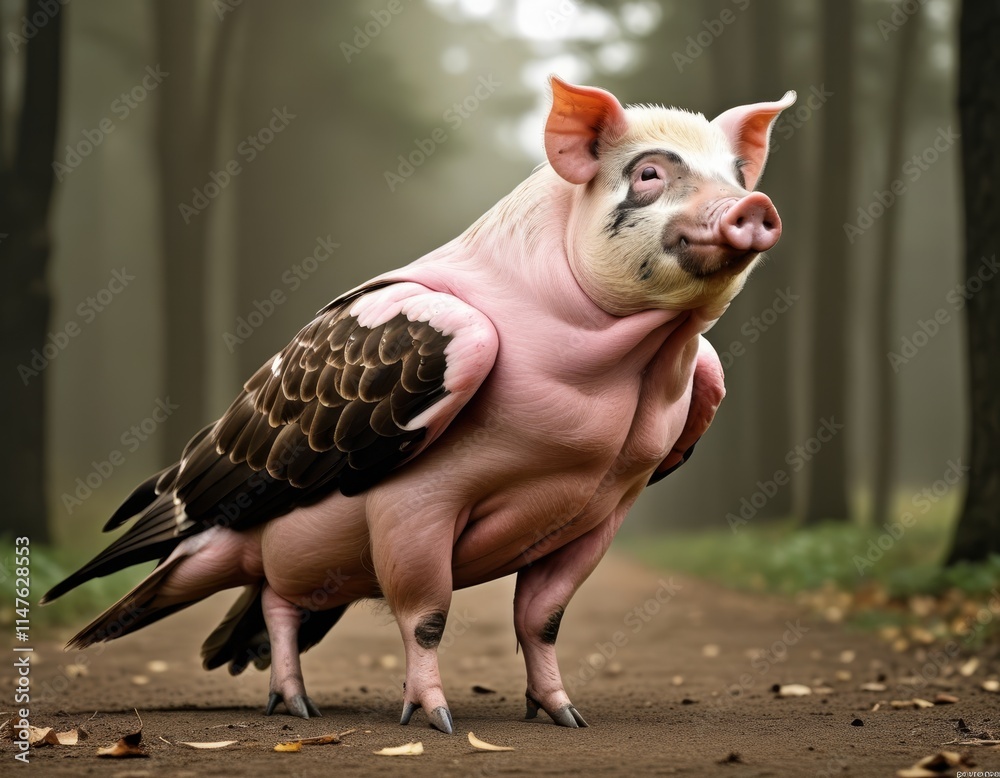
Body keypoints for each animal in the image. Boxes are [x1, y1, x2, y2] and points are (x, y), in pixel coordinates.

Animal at [43, 77, 795, 734]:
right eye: (649, 174)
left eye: (738, 173)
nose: (753, 206)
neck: (622, 377)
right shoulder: (412, 503)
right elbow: (426, 618)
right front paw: (437, 721)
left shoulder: (604, 511)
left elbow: (541, 621)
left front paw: (565, 717)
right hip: (230, 500)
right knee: (272, 601)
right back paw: (296, 707)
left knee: (272, 599)